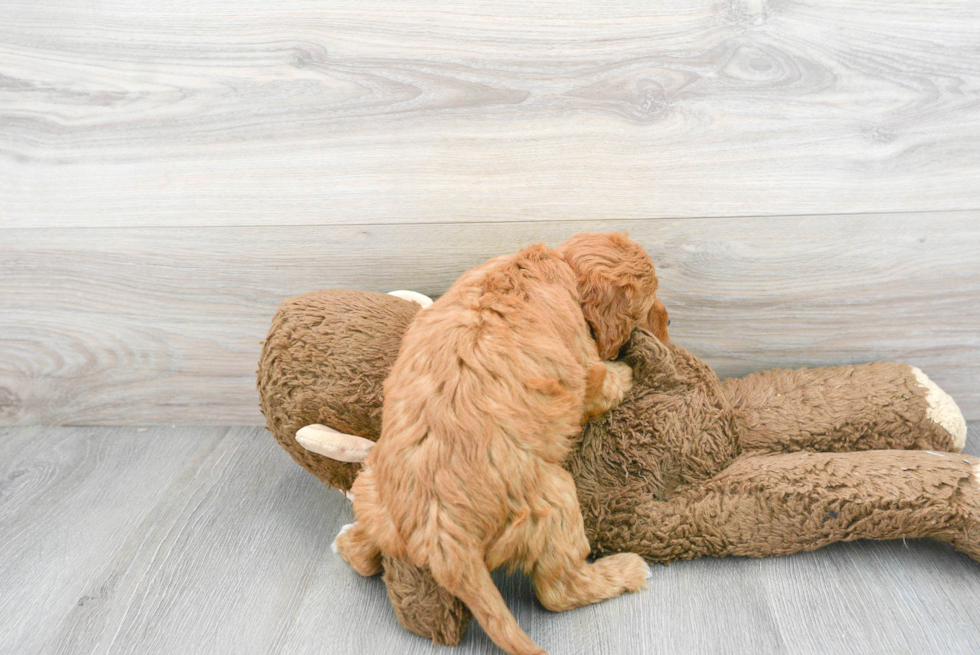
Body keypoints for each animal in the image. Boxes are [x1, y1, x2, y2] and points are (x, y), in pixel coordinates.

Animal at [334, 233, 664, 652]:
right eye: (650, 300)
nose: (669, 322)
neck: (560, 265)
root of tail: (445, 544)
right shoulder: (585, 370)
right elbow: (603, 381)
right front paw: (624, 372)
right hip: (554, 499)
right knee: (559, 591)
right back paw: (626, 570)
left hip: (372, 485)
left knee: (362, 554)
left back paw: (347, 541)